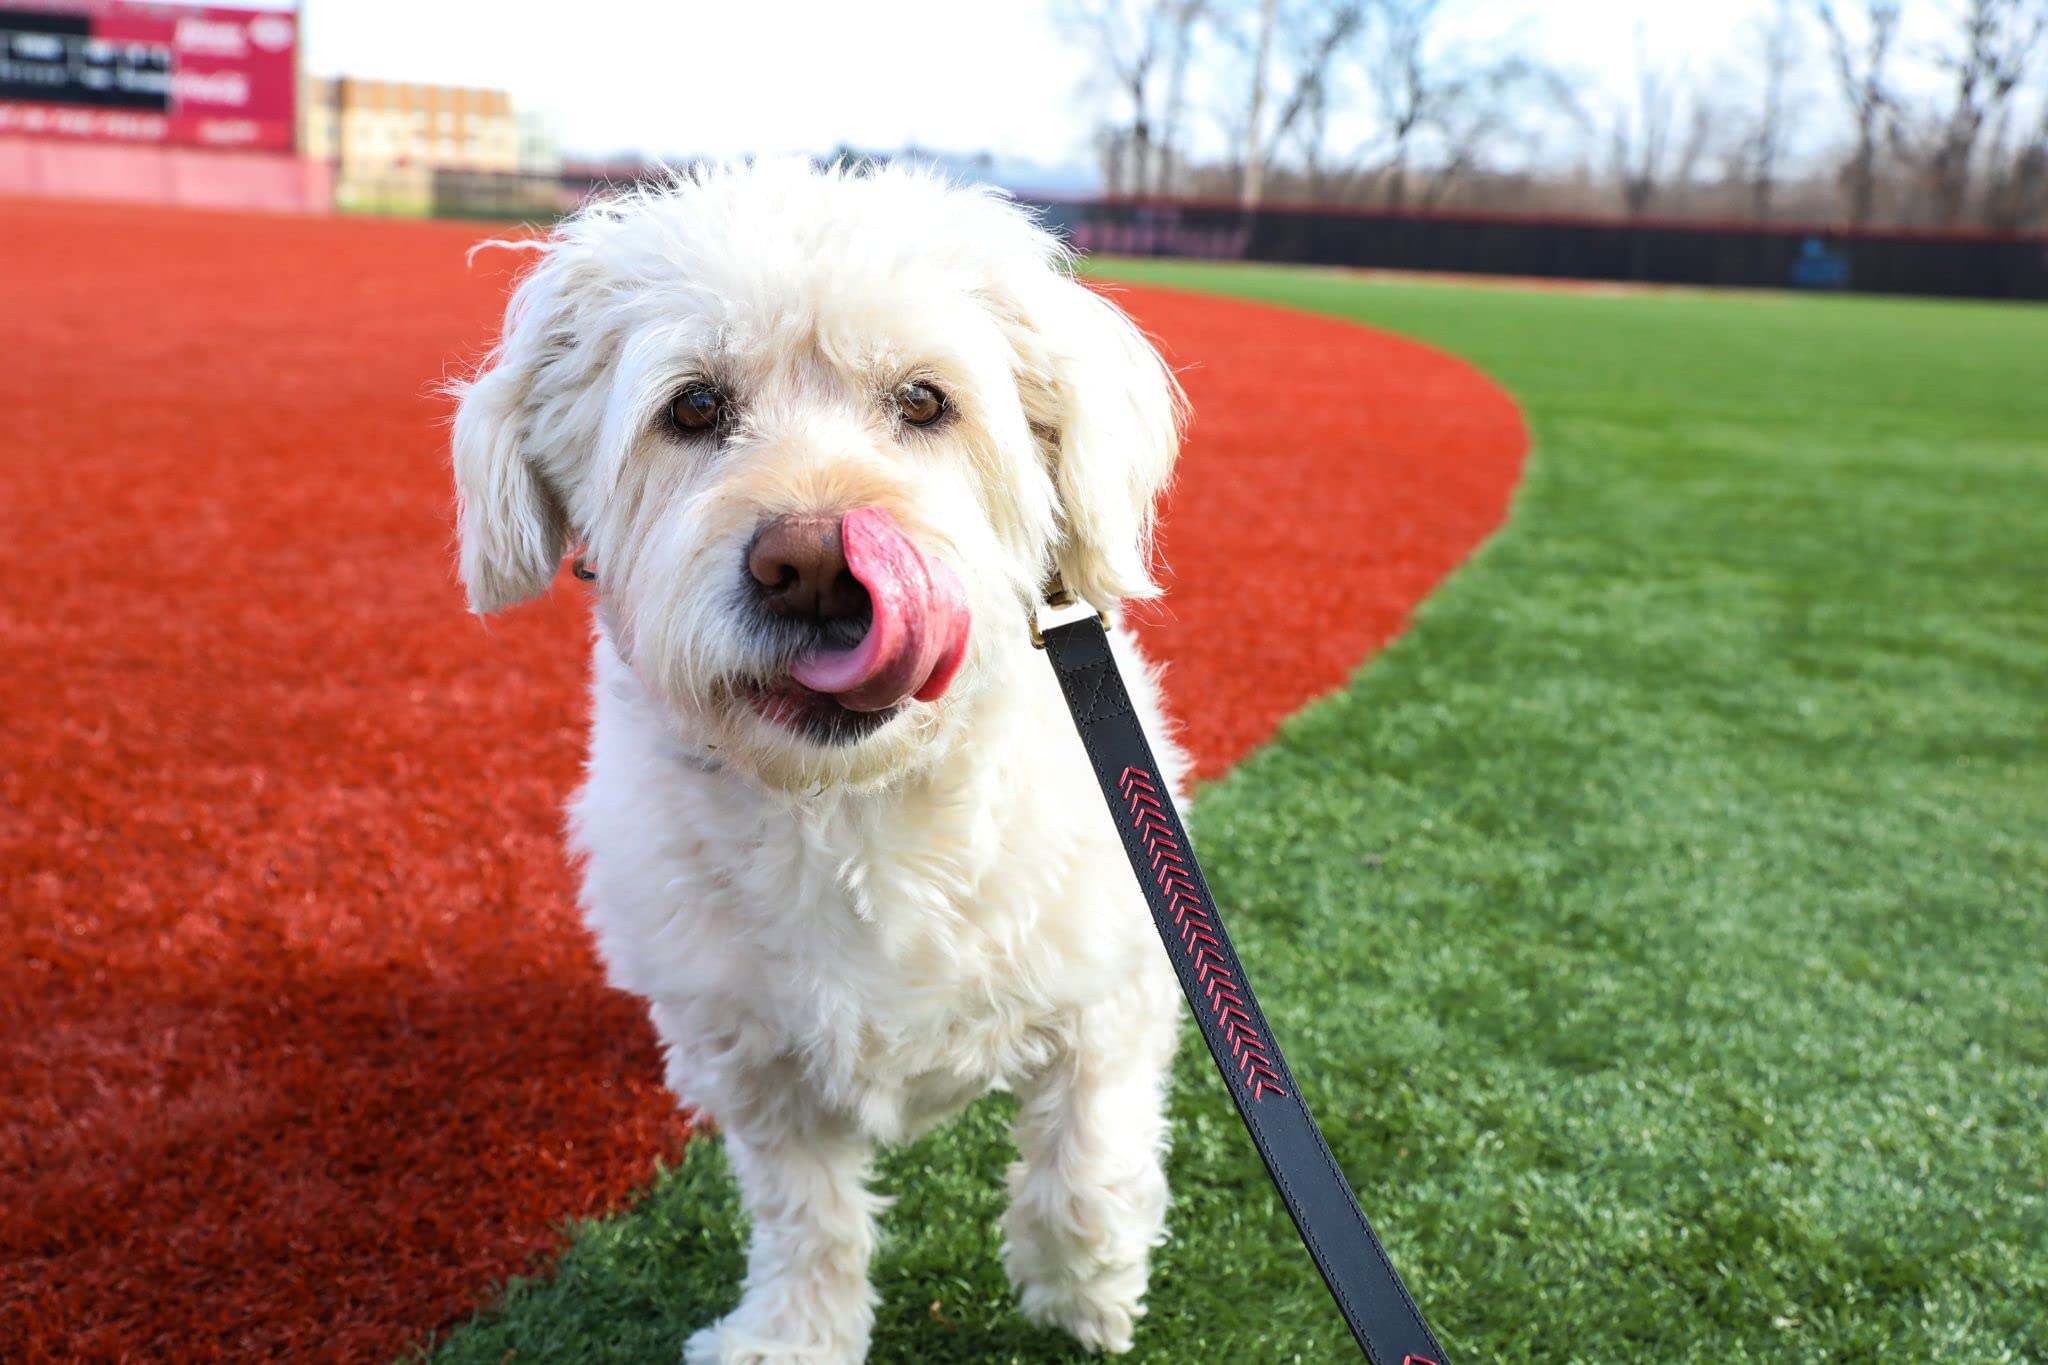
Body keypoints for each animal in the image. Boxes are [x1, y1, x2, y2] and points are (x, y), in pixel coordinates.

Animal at [448, 157, 1187, 1358]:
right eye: (694, 407)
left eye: (924, 402)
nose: (812, 565)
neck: (850, 805)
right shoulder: (751, 1055)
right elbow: (809, 1212)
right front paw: (792, 1332)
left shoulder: (1117, 978)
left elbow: (1087, 1156)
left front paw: (1085, 1292)